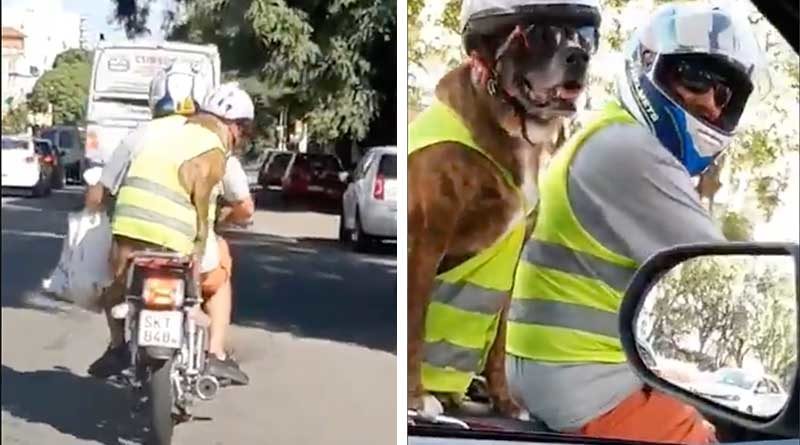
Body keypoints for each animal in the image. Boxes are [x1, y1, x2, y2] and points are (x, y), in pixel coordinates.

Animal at [410, 0, 604, 420]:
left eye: (583, 38)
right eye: (539, 34)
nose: (578, 56)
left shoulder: (510, 263)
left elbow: (499, 341)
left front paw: (506, 401)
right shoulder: (425, 243)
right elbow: (414, 323)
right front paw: (416, 397)